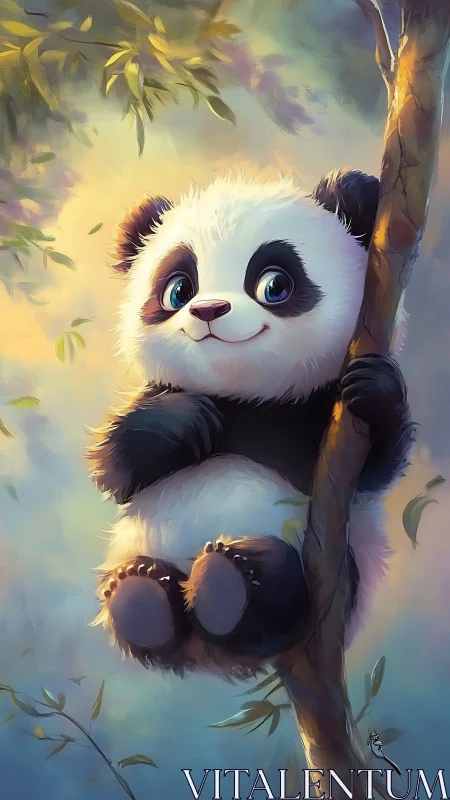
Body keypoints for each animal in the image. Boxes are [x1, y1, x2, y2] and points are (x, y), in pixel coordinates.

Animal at [87, 168, 413, 679]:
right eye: (178, 290)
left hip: (332, 572)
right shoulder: (158, 396)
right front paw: (188, 420)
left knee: (283, 593)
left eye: (274, 285)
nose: (207, 311)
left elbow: (374, 471)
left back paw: (231, 584)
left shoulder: (320, 417)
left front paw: (375, 389)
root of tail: (209, 652)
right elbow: (114, 468)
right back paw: (143, 599)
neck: (246, 398)